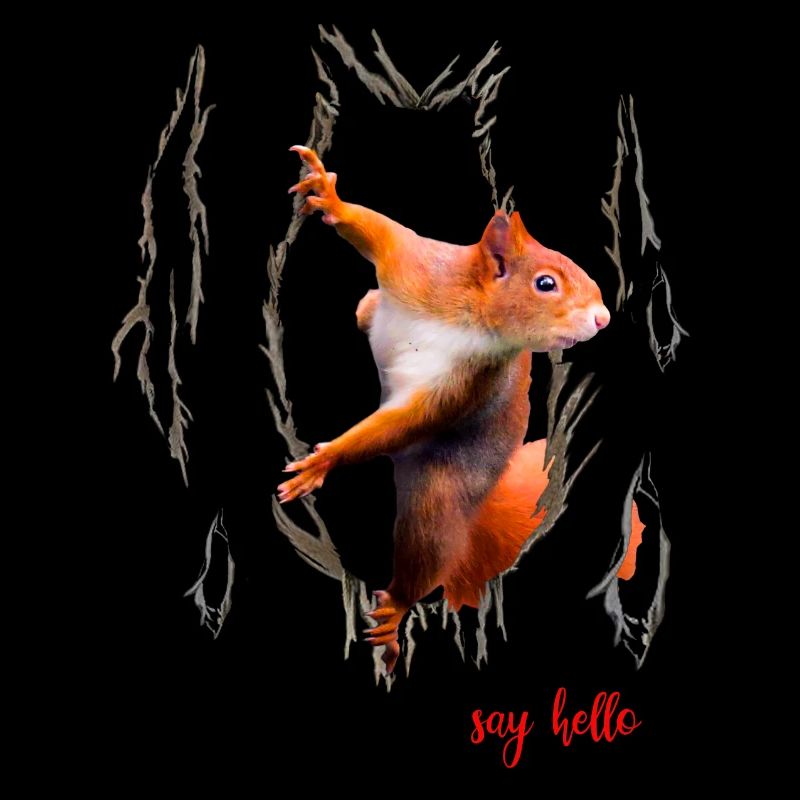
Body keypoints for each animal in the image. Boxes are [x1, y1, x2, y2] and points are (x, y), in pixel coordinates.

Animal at [278, 146, 643, 672]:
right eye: (545, 283)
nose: (603, 318)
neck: (474, 318)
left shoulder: (467, 384)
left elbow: (405, 423)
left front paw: (326, 459)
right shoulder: (420, 266)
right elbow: (378, 230)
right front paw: (330, 197)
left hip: (438, 498)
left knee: (425, 556)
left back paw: (397, 607)